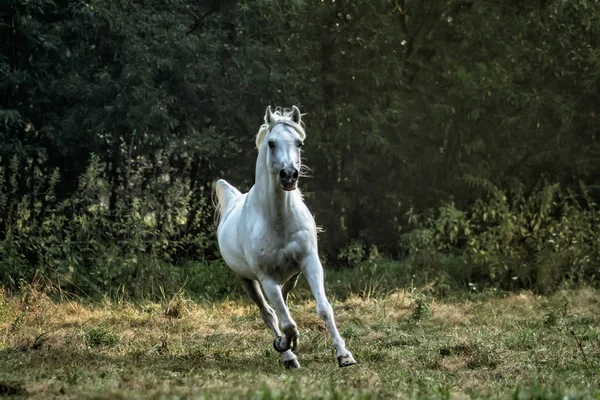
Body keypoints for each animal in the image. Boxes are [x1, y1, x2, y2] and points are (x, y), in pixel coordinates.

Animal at [216, 105, 356, 368]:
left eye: (299, 143)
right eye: (271, 143)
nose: (289, 175)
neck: (277, 219)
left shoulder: (310, 262)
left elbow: (324, 308)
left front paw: (344, 355)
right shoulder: (267, 278)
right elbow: (287, 322)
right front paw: (284, 344)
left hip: (293, 274)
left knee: (284, 298)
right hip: (246, 280)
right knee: (269, 313)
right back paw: (288, 355)